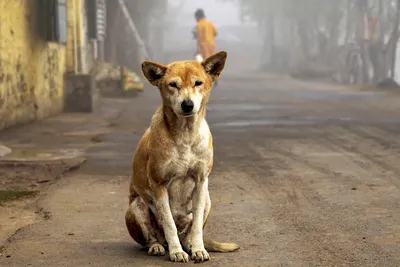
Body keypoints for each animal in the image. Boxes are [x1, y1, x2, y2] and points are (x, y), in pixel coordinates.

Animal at [123, 51, 239, 264]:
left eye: (198, 83)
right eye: (173, 84)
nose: (187, 105)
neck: (186, 134)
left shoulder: (201, 182)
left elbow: (197, 226)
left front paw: (199, 250)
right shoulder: (159, 184)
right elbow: (168, 223)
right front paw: (176, 252)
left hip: (208, 199)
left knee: (188, 234)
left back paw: (190, 245)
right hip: (136, 207)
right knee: (154, 238)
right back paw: (159, 247)